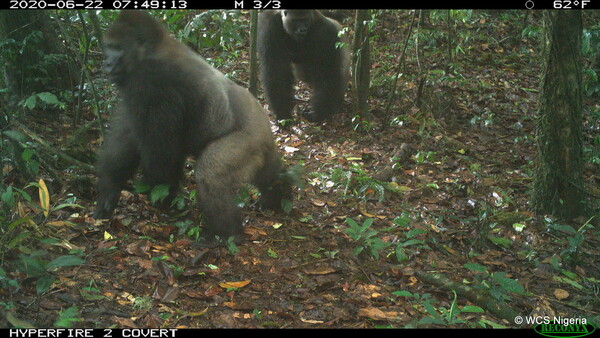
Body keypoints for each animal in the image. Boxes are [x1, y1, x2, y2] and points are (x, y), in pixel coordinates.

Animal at [93, 10, 290, 243]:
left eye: (118, 48)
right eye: (109, 47)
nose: (106, 64)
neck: (153, 48)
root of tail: (266, 124)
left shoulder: (151, 82)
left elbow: (162, 158)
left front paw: (163, 198)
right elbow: (125, 141)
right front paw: (109, 190)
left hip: (248, 140)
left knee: (211, 174)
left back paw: (223, 234)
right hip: (262, 146)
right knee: (268, 172)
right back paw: (279, 194)